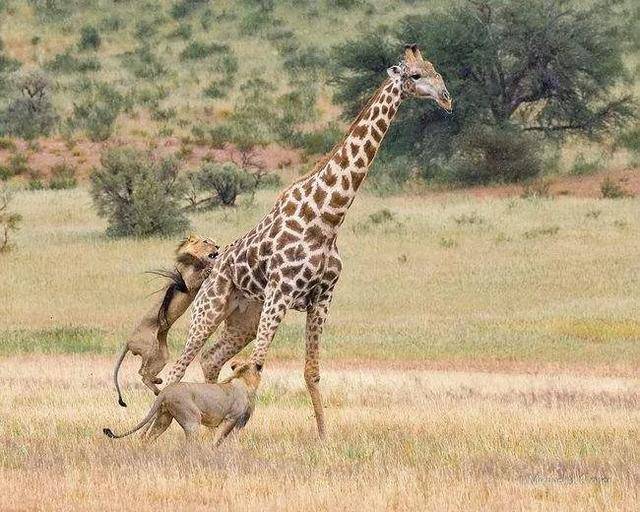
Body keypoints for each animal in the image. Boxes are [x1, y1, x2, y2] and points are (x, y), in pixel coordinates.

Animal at [104, 360, 258, 444]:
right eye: (258, 366)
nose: (260, 364)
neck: (244, 381)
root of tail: (165, 391)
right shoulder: (231, 418)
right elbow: (220, 437)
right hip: (192, 419)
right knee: (188, 443)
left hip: (164, 418)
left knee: (150, 437)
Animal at [111, 234, 219, 406]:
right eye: (206, 241)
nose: (218, 246)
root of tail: (128, 342)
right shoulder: (189, 282)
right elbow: (199, 274)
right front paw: (209, 266)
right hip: (150, 346)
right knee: (142, 372)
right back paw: (157, 385)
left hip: (162, 355)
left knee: (145, 375)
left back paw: (158, 385)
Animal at [168, 44, 452, 438]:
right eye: (414, 75)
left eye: (436, 69)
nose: (446, 98)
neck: (327, 217)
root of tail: (213, 263)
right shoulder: (281, 292)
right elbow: (256, 367)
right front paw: (233, 436)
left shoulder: (322, 297)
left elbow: (311, 371)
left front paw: (323, 439)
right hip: (210, 308)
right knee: (179, 366)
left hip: (245, 318)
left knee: (212, 359)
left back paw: (210, 427)